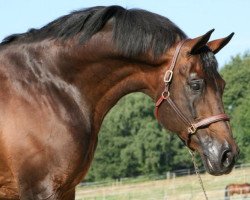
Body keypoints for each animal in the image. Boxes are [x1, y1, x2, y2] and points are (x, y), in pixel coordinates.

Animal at [0, 5, 238, 199]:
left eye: (223, 84)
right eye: (196, 84)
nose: (227, 154)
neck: (43, 87)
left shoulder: (67, 189)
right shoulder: (42, 189)